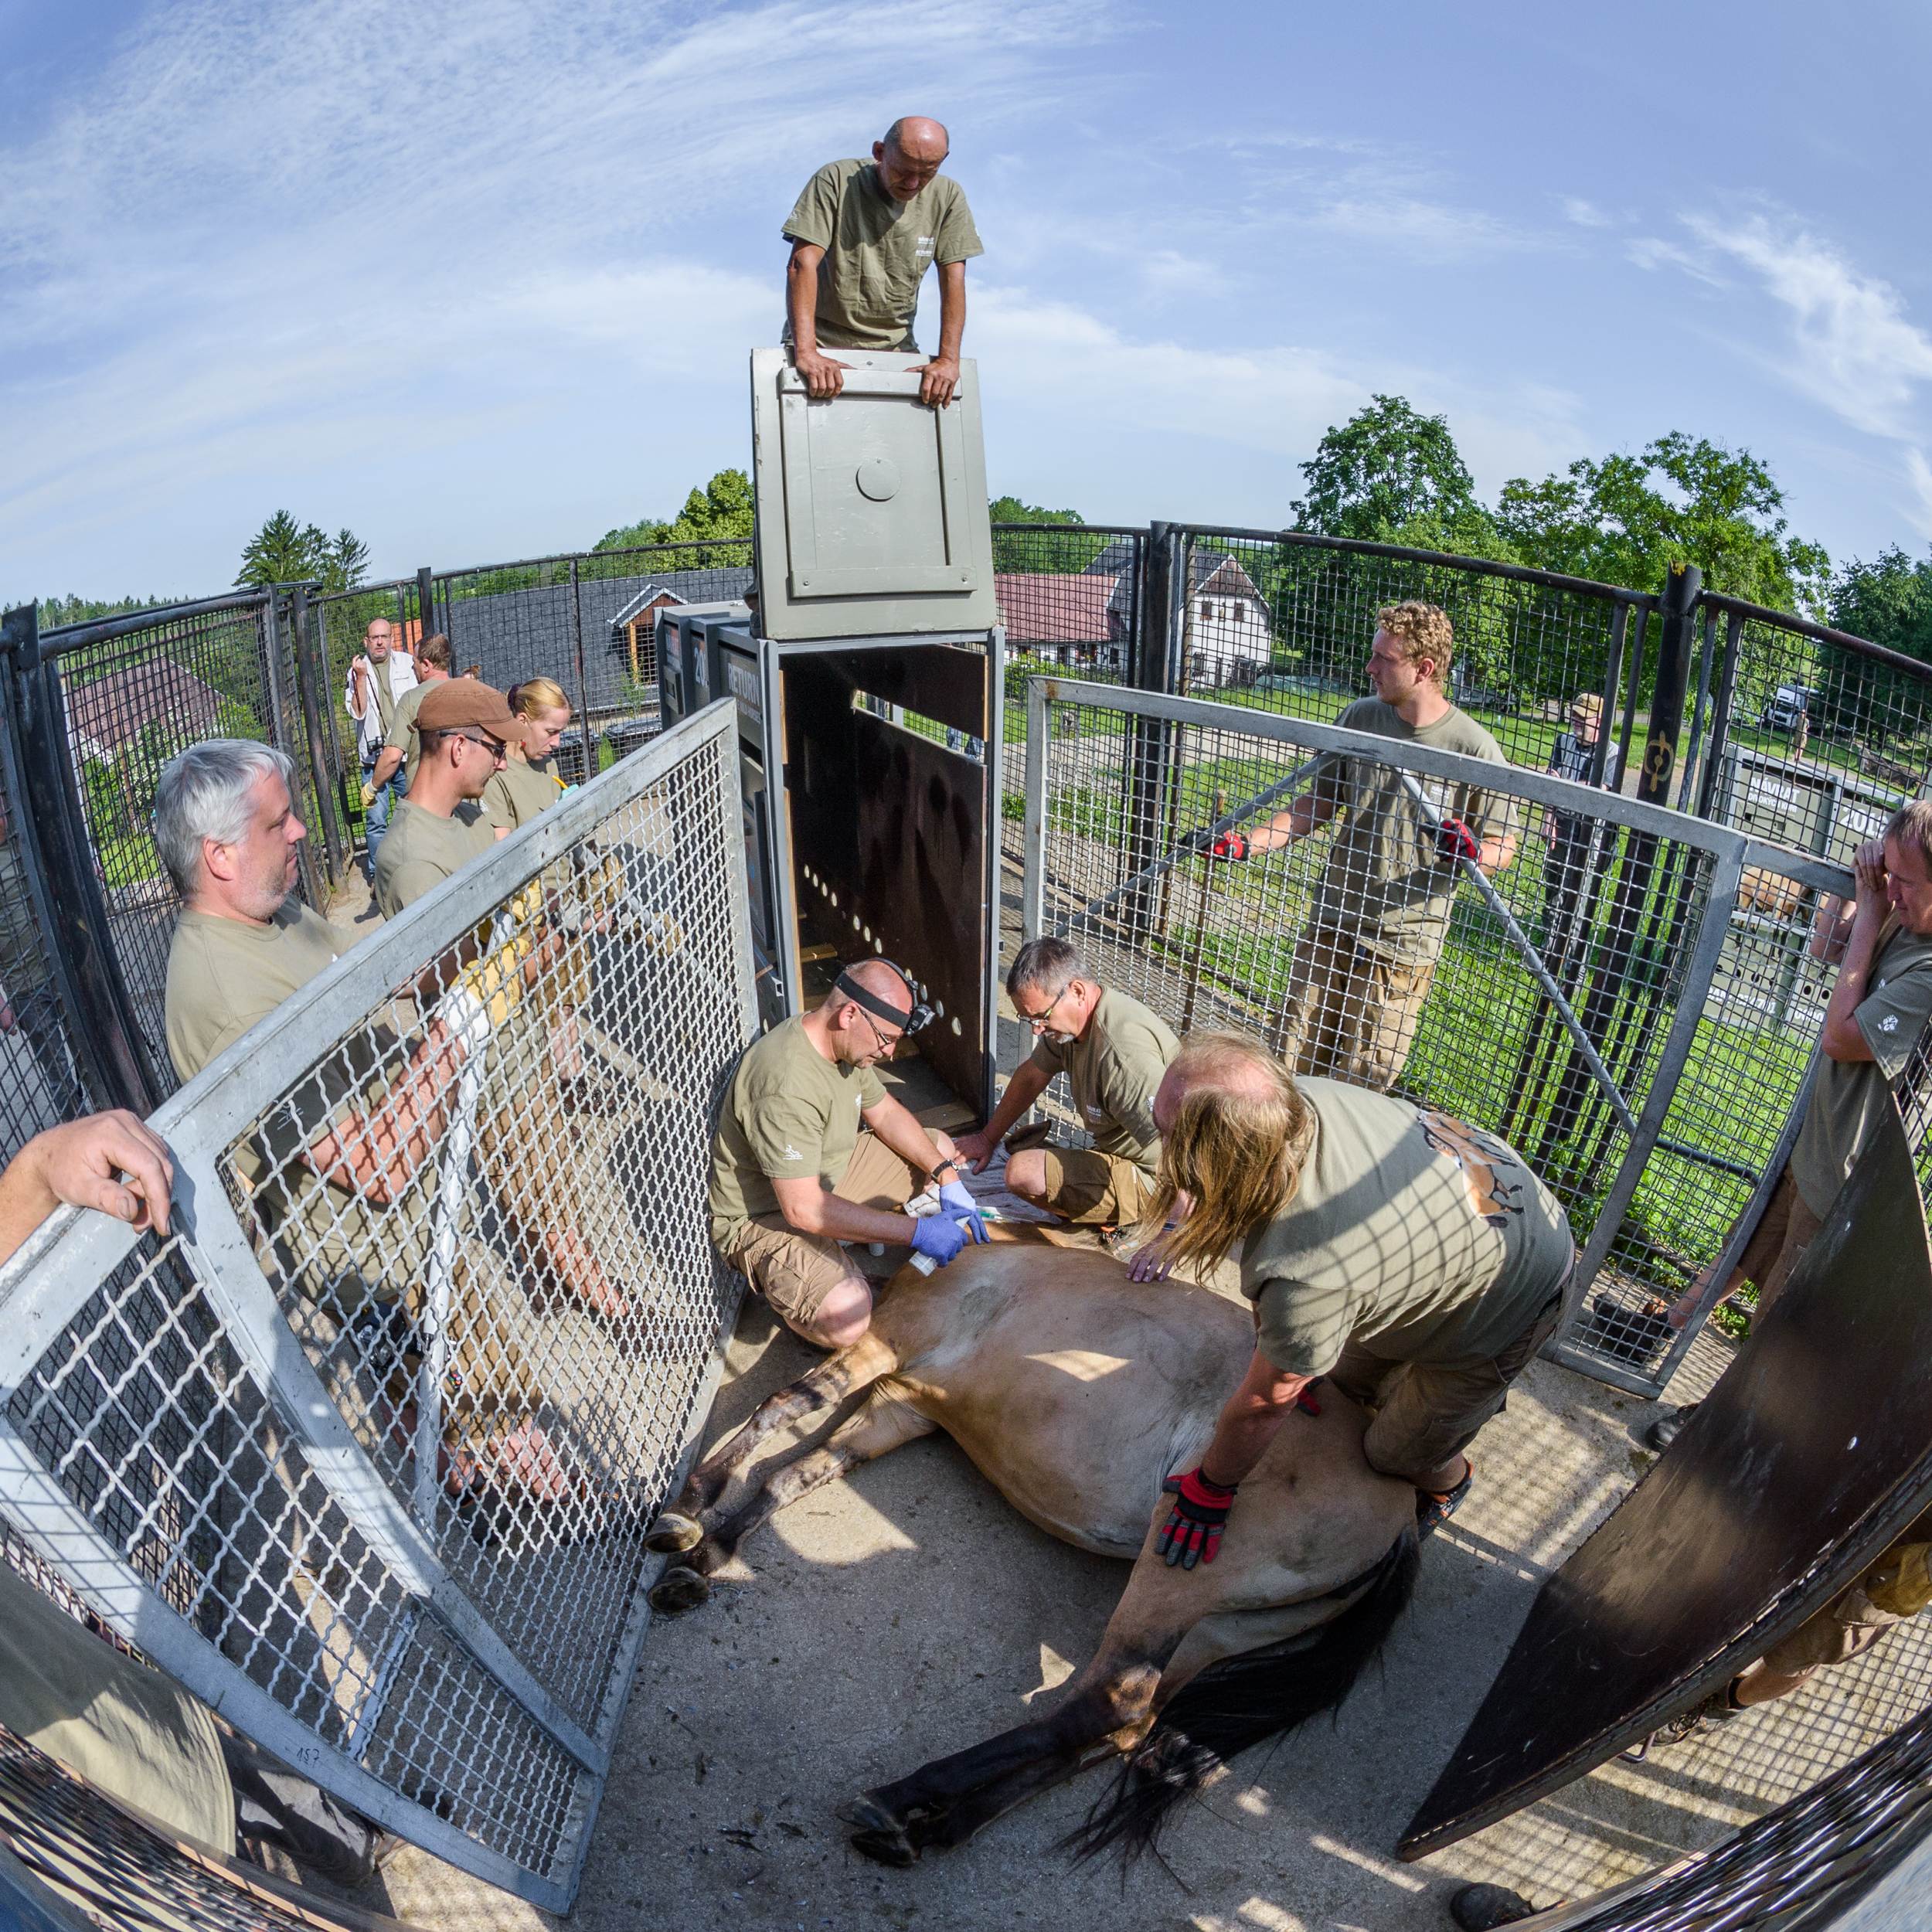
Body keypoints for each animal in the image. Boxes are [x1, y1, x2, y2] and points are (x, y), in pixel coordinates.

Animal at [649, 1229, 1422, 1862]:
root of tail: (1405, 1507)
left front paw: (687, 1512)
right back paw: (939, 1824)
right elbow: (793, 1475)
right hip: (1216, 1627)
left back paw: (907, 1797)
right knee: (1116, 1727)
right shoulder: (901, 1409)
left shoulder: (883, 1348)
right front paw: (704, 1560)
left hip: (1177, 1573)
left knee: (1111, 1700)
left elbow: (781, 1409)